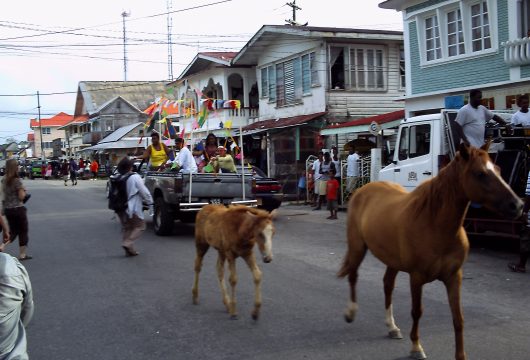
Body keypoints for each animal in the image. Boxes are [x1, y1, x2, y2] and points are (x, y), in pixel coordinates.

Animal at [336, 143, 520, 360]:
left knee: (387, 285)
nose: (517, 205)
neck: (434, 224)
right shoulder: (417, 277)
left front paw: (460, 355)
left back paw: (392, 327)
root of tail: (363, 189)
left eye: (498, 170)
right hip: (357, 247)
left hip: (392, 260)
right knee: (353, 275)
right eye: (480, 173)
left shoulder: (454, 277)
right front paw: (416, 347)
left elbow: (458, 318)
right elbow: (417, 311)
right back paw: (350, 313)